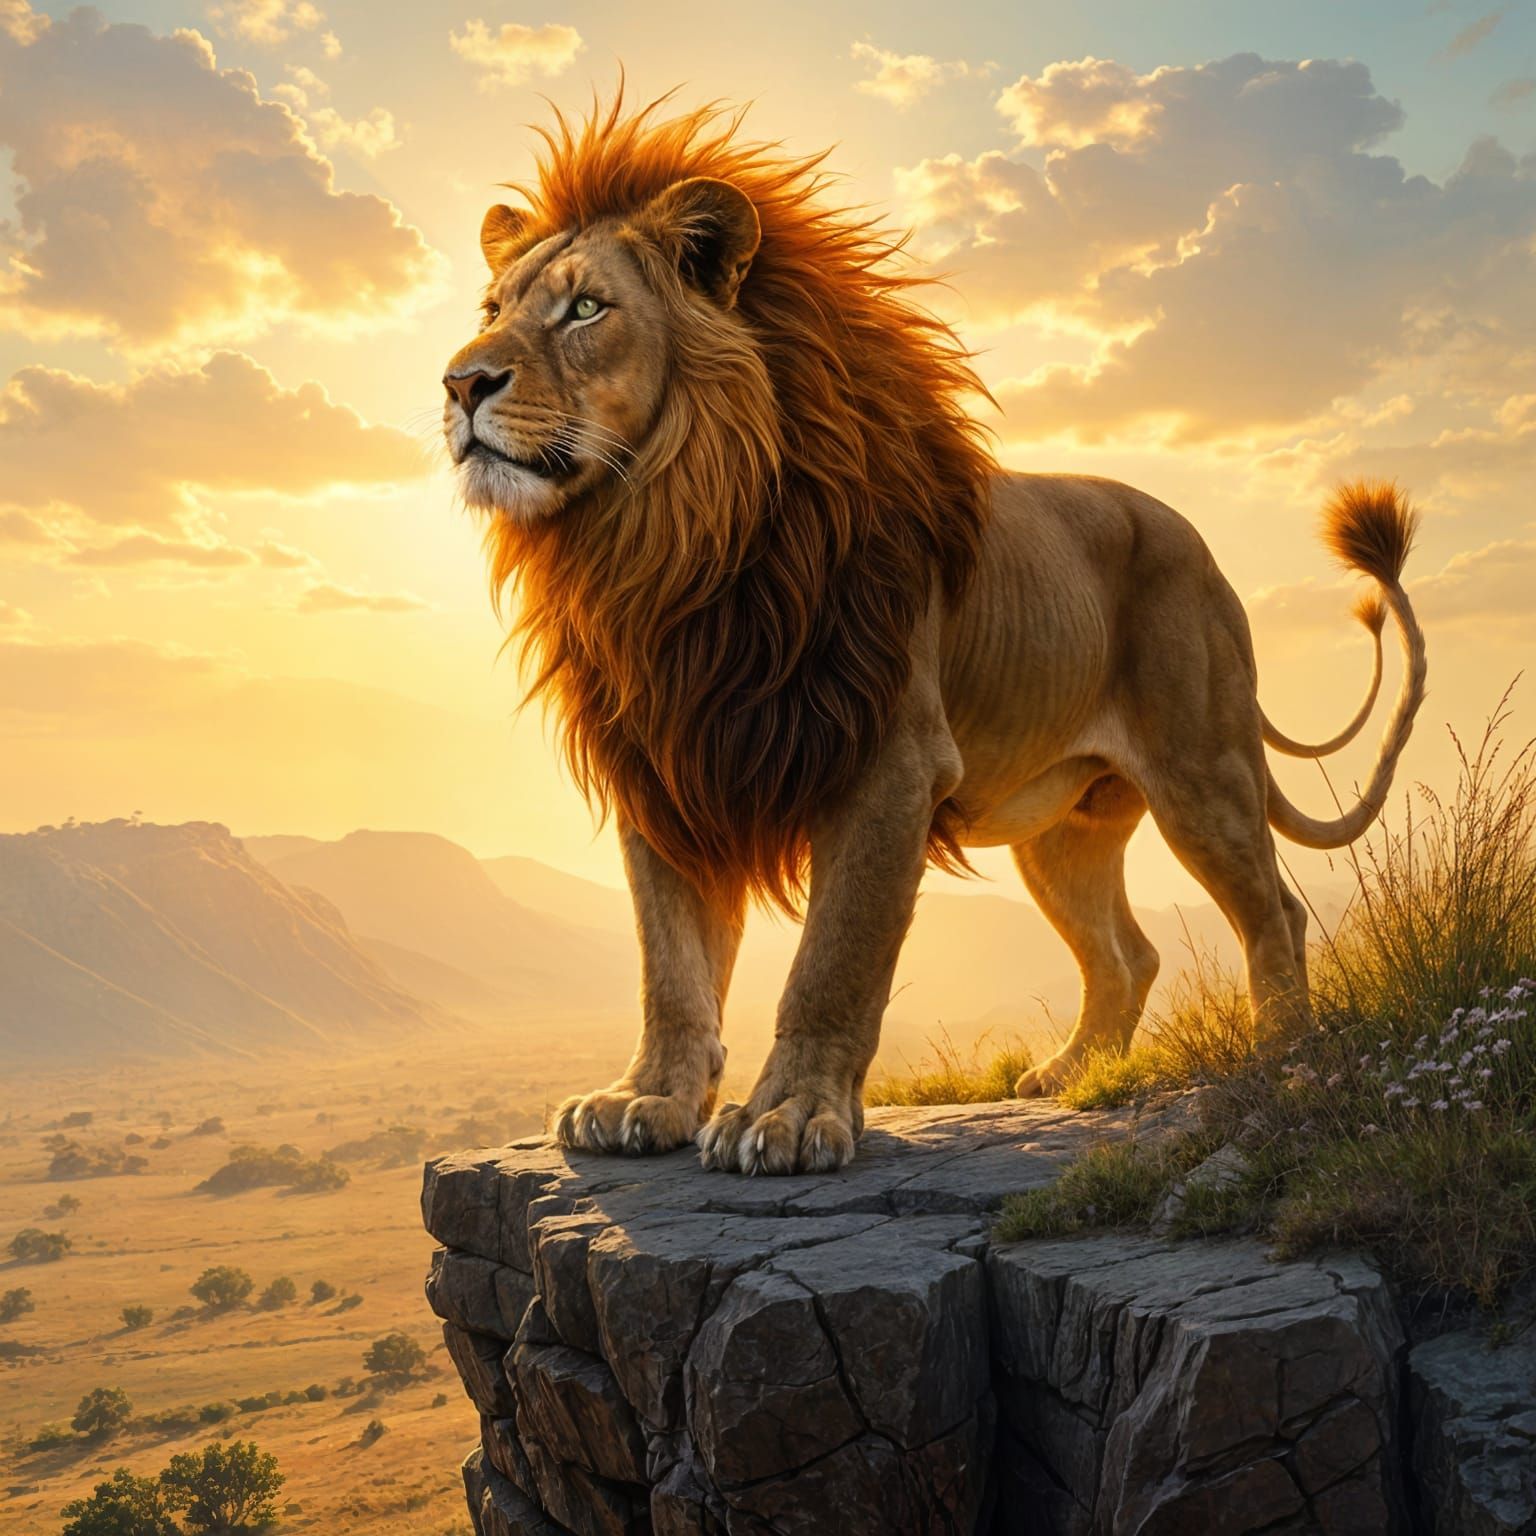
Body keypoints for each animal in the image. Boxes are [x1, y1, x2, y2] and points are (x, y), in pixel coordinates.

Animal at [441, 96, 1427, 1175]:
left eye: (586, 309)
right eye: (491, 310)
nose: (460, 384)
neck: (665, 542)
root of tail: (1202, 548)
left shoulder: (889, 762)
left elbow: (832, 959)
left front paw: (790, 1118)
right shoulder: (669, 767)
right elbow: (670, 960)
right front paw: (646, 1100)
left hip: (1202, 775)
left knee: (1274, 911)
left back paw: (1282, 1059)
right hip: (1065, 829)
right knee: (1128, 952)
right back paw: (1071, 1080)